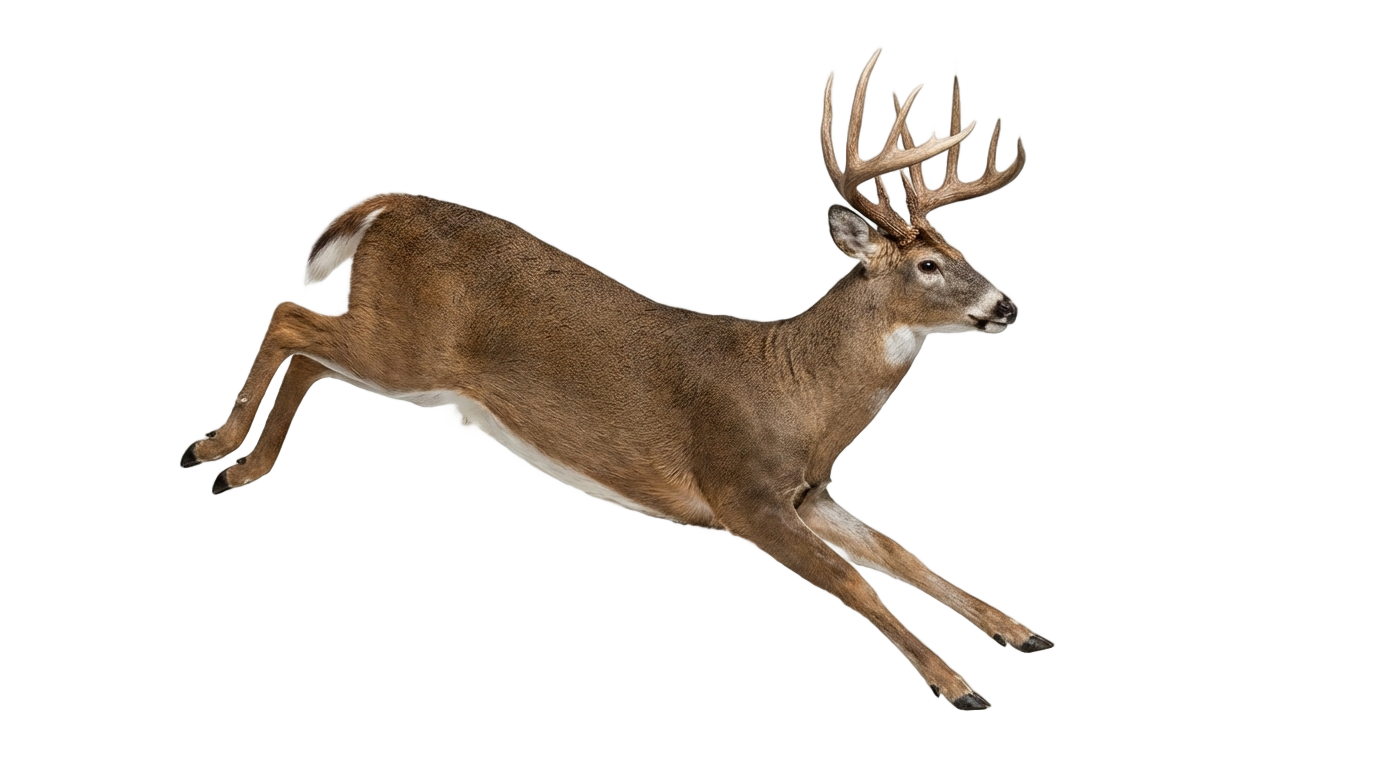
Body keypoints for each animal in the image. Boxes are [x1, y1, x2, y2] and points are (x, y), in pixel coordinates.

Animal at [174, 52, 1051, 713]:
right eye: (928, 264)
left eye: (959, 252)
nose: (1006, 305)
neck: (798, 390)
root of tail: (390, 203)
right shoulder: (737, 491)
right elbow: (855, 582)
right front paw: (962, 688)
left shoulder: (801, 495)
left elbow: (904, 552)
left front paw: (1025, 634)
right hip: (405, 349)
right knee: (290, 318)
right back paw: (207, 449)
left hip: (388, 340)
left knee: (307, 346)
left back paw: (241, 469)